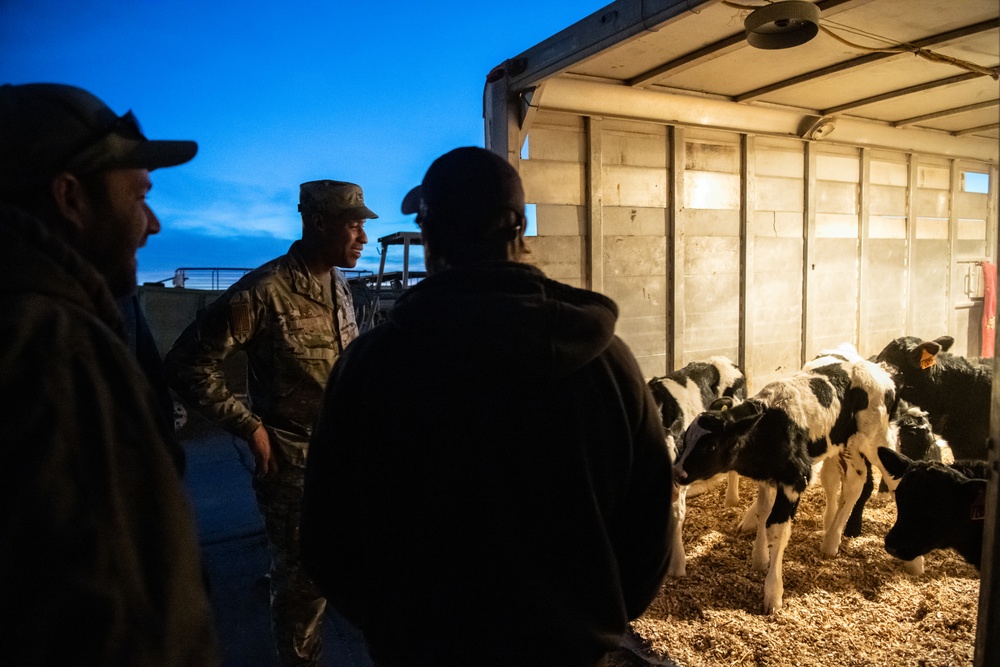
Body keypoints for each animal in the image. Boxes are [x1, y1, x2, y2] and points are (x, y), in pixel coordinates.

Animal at [672, 360, 900, 616]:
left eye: (710, 446)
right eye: (686, 439)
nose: (678, 472)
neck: (771, 425)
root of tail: (880, 371)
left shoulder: (795, 479)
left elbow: (777, 529)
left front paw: (773, 593)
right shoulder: (767, 476)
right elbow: (763, 511)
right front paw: (760, 558)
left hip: (877, 440)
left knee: (894, 480)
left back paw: (914, 562)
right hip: (848, 445)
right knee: (854, 483)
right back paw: (831, 541)